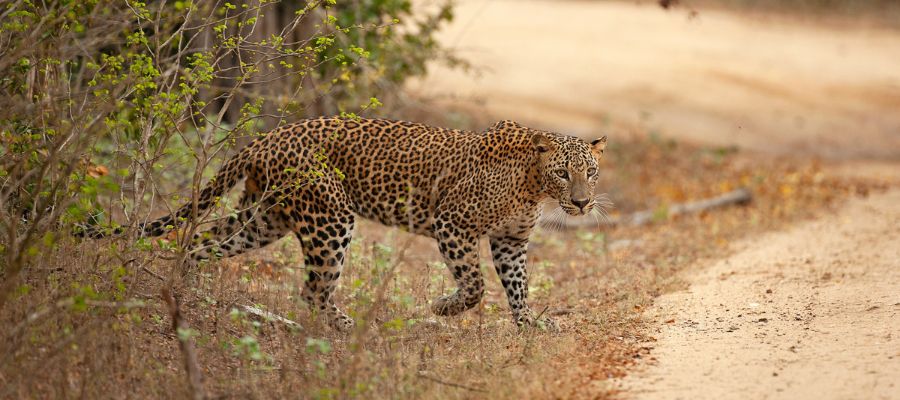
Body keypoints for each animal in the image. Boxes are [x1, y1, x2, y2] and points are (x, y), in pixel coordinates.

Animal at [81, 117, 608, 332]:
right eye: (564, 172)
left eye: (591, 171)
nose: (582, 203)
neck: (534, 184)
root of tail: (267, 137)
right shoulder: (452, 224)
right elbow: (476, 285)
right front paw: (444, 308)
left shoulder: (510, 241)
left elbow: (518, 287)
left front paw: (528, 326)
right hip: (330, 219)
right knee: (313, 289)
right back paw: (348, 327)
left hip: (263, 217)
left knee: (200, 244)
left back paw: (181, 291)